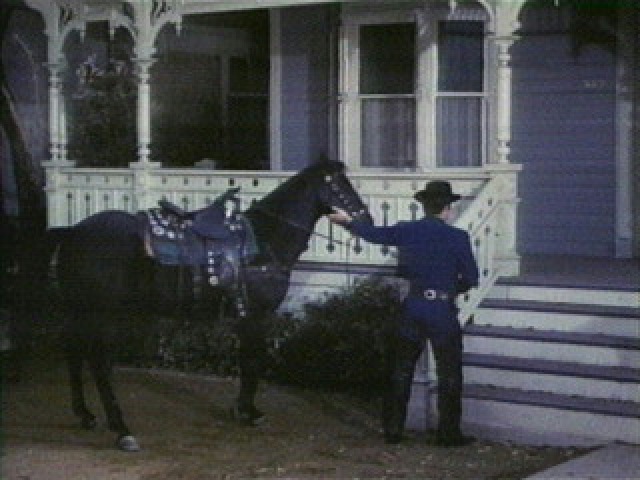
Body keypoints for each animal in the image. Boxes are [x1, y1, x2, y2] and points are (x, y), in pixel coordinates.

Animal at [49, 161, 371, 452]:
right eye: (340, 184)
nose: (365, 218)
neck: (265, 240)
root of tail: (73, 232)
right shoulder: (257, 315)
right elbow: (253, 360)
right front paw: (249, 412)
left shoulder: (245, 317)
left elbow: (246, 360)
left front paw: (242, 409)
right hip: (104, 314)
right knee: (100, 365)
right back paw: (122, 430)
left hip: (81, 310)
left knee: (74, 353)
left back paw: (86, 415)